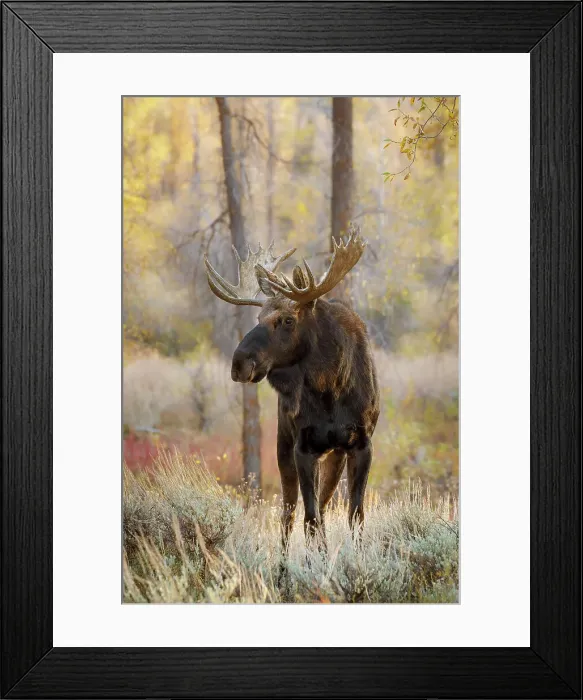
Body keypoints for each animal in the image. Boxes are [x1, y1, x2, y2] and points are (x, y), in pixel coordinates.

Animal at [204, 226, 379, 550]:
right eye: (258, 317)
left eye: (287, 320)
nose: (239, 363)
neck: (330, 389)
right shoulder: (303, 446)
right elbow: (308, 519)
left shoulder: (361, 443)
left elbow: (355, 515)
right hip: (282, 444)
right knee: (288, 514)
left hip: (334, 454)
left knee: (323, 506)